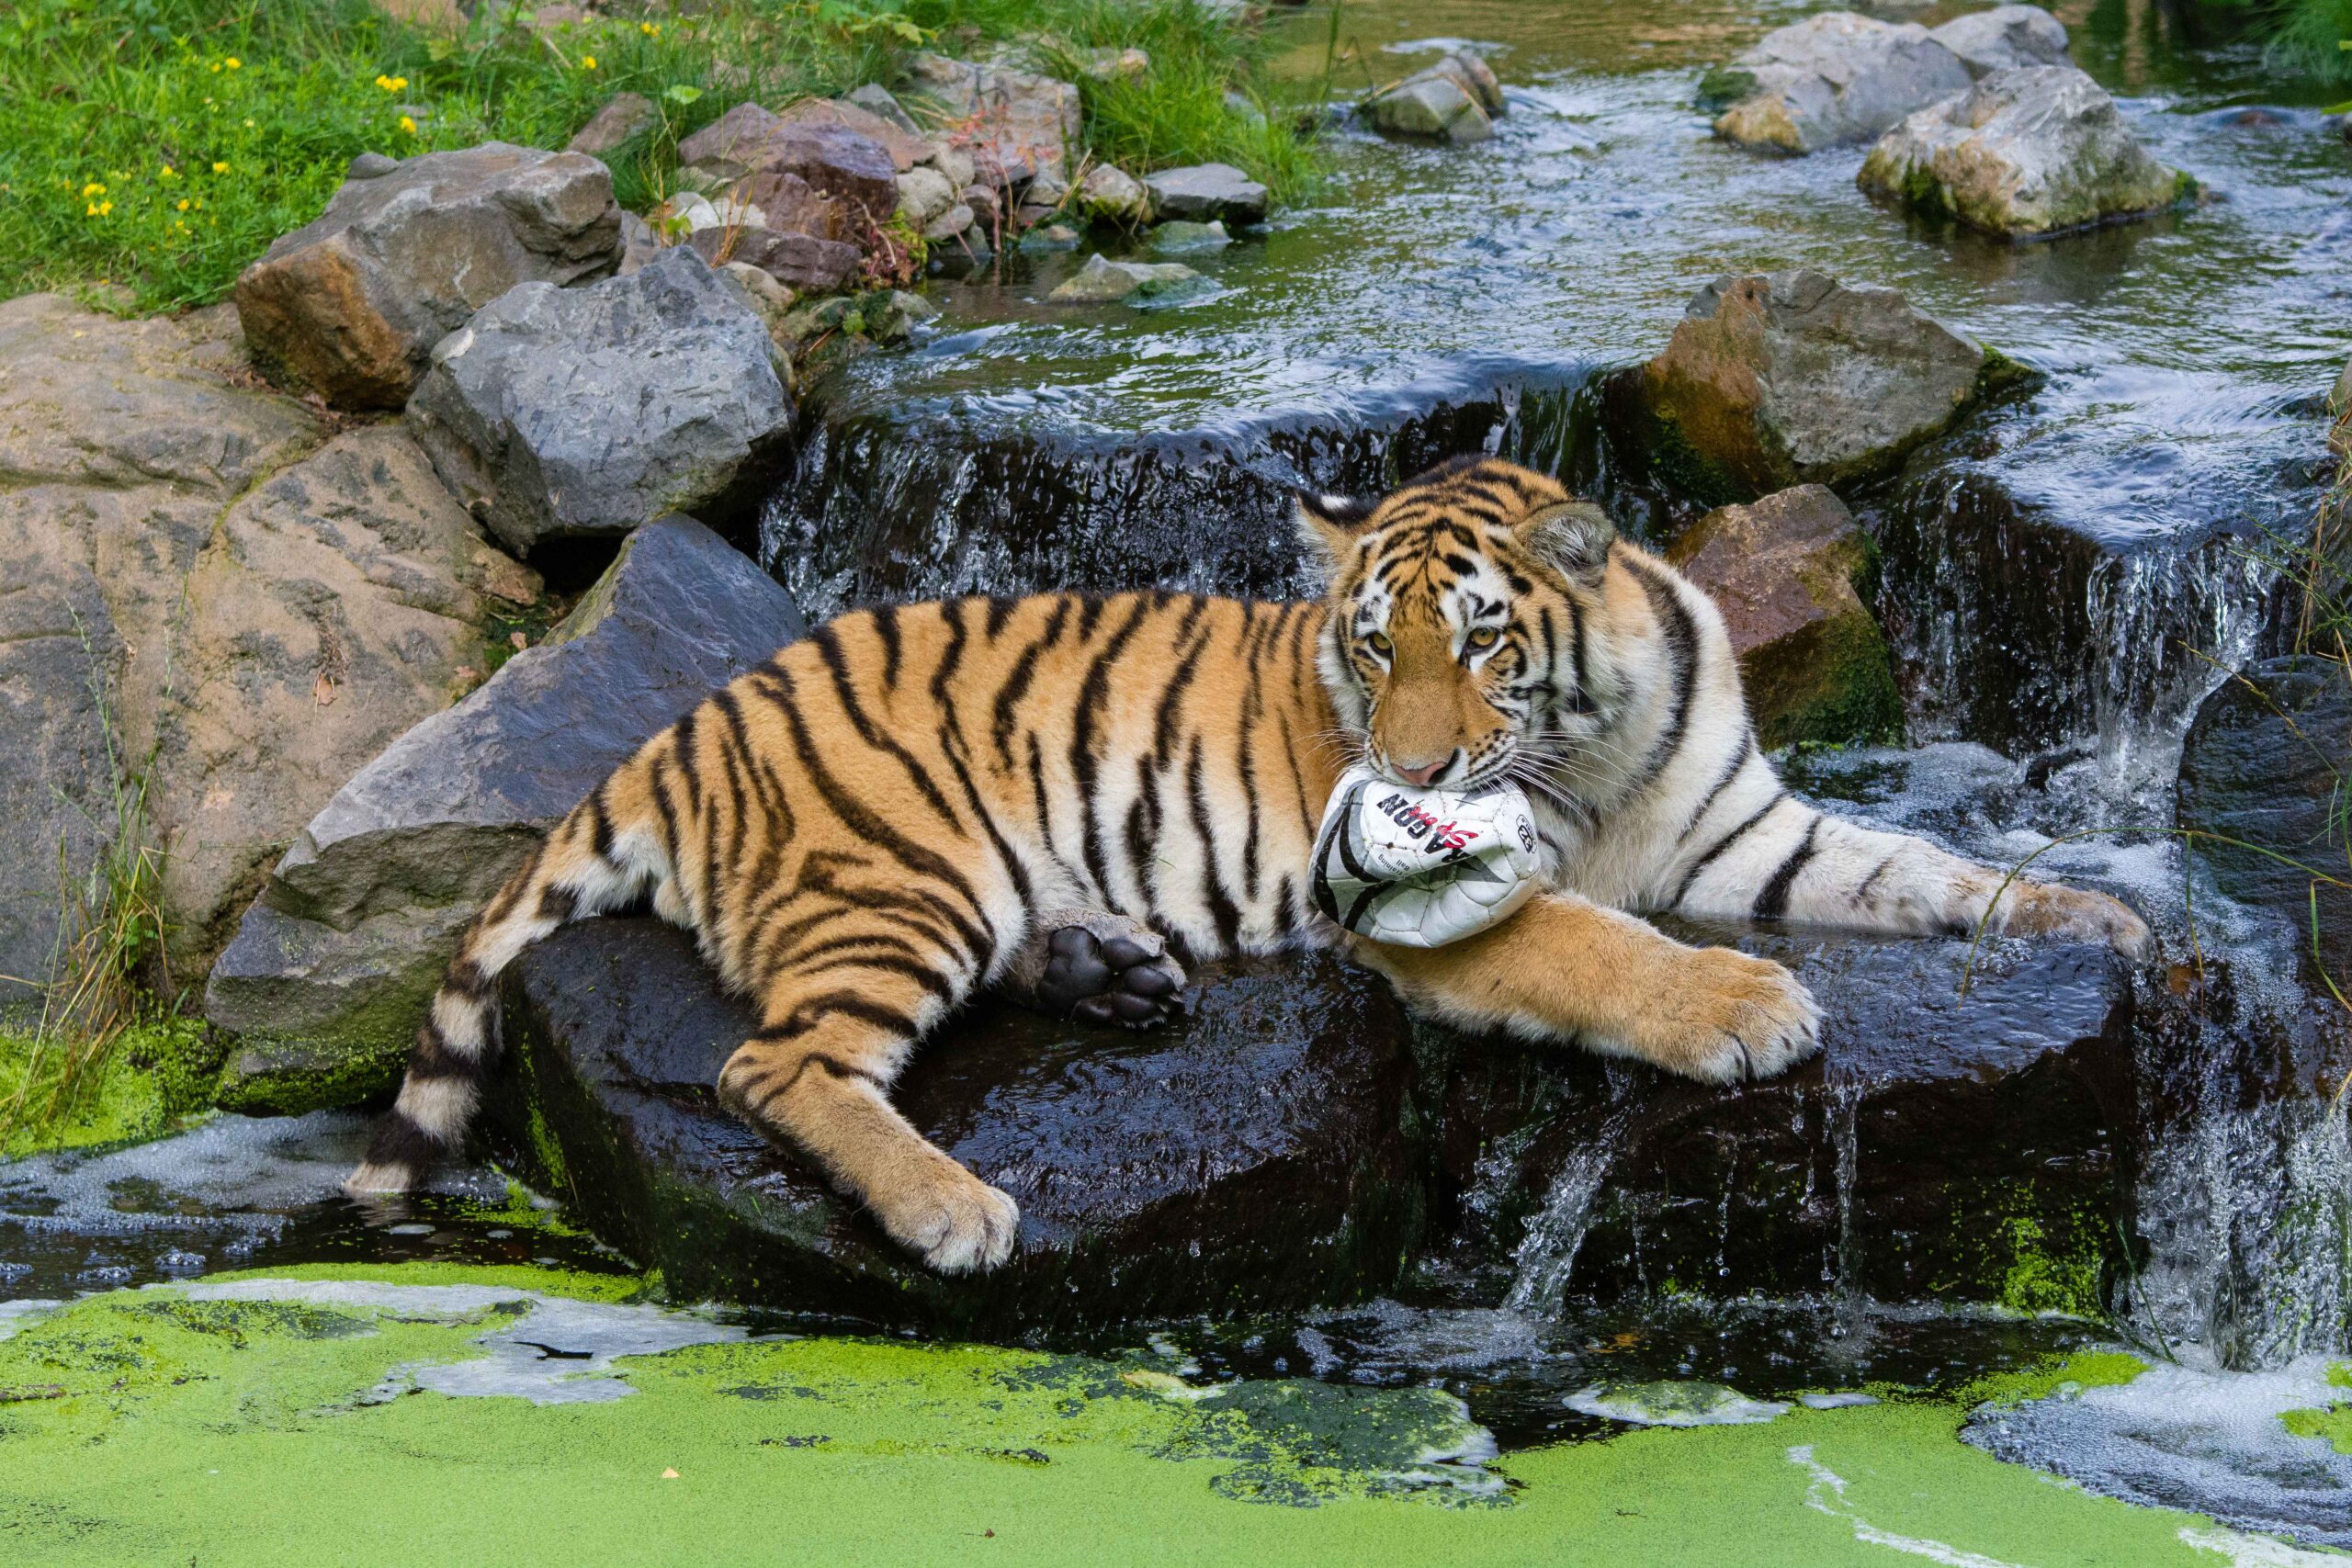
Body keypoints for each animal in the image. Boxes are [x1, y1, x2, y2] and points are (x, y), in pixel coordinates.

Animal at [348, 457, 2150, 1274]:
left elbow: (1919, 865)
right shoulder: (1435, 919)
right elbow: (1600, 946)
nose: (1408, 775)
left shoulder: (1748, 827)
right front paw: (1744, 1007)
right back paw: (955, 1207)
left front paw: (2096, 914)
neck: (1597, 749)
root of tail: (681, 725)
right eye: (1370, 646)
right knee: (772, 1066)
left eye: (1480, 643)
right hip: (903, 876)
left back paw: (1110, 966)